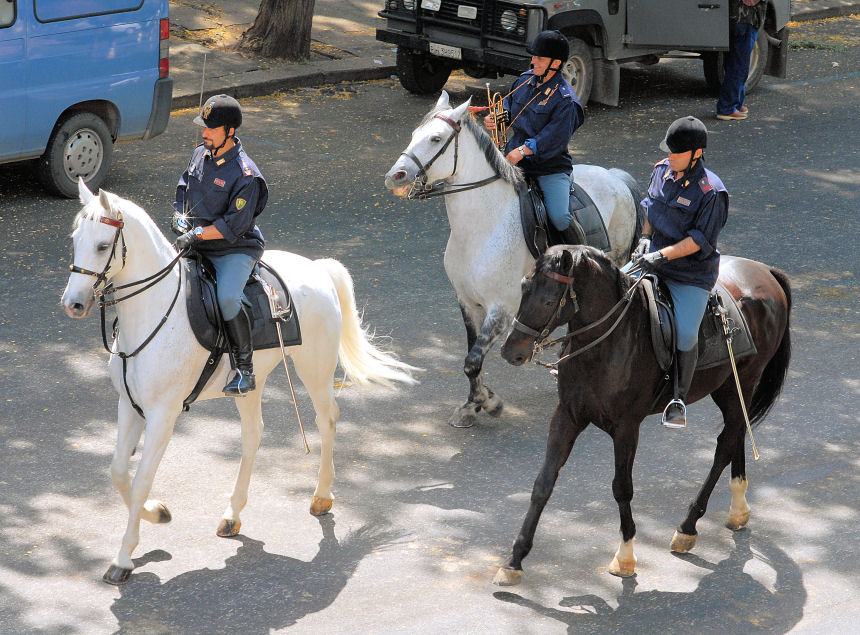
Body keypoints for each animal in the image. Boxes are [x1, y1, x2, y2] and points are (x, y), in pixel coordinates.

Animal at [61, 179, 416, 588]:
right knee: (253, 435)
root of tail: (318, 268)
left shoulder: (163, 415)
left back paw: (322, 496)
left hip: (314, 368)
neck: (155, 312)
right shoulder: (129, 406)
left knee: (326, 421)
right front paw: (158, 513)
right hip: (252, 384)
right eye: (75, 239)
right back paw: (233, 515)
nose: (72, 303)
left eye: (103, 246)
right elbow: (119, 472)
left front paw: (123, 558)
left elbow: (139, 482)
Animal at [382, 92, 640, 430]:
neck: (481, 228)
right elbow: (471, 357)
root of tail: (615, 176)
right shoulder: (468, 303)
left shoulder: (502, 308)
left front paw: (489, 402)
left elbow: (472, 360)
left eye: (435, 138)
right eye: (414, 134)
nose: (394, 176)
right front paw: (471, 405)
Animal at [494, 245, 788, 588]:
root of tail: (764, 270)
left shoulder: (626, 427)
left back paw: (688, 526)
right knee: (735, 433)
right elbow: (543, 483)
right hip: (728, 386)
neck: (606, 343)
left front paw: (625, 556)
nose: (511, 351)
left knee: (725, 445)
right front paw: (514, 561)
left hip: (744, 380)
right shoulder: (567, 416)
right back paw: (738, 510)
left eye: (548, 300)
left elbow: (622, 488)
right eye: (524, 288)